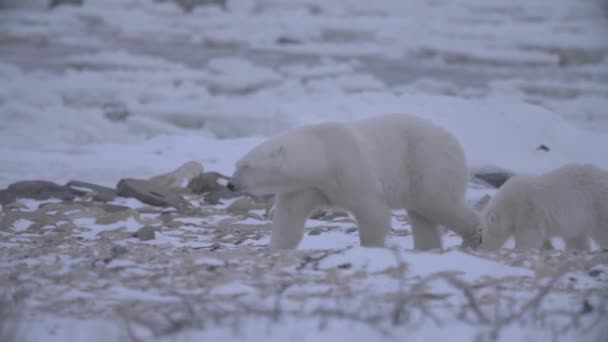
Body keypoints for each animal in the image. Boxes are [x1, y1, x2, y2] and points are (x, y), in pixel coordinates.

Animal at [226, 113, 482, 250]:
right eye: (236, 164)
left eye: (246, 166)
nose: (230, 185)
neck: (321, 154)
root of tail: (453, 140)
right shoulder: (306, 186)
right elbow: (289, 217)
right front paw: (277, 247)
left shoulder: (348, 165)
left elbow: (371, 209)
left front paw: (372, 247)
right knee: (422, 215)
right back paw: (427, 248)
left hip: (427, 163)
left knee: (439, 203)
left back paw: (473, 238)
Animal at [480, 163, 608, 251]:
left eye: (482, 236)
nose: (482, 249)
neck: (511, 203)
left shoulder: (529, 209)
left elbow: (529, 235)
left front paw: (521, 249)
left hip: (597, 206)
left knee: (602, 230)